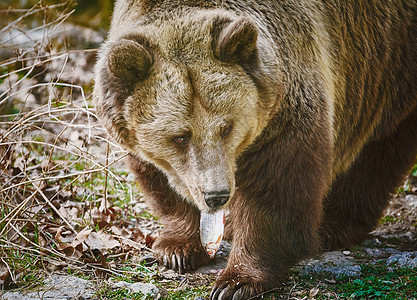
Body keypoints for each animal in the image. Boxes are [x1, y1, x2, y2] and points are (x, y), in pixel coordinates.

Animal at [93, 1, 416, 298]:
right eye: (180, 137)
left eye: (226, 127)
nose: (217, 195)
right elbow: (160, 179)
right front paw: (176, 249)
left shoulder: (285, 106)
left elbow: (276, 187)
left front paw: (237, 281)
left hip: (387, 65)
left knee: (376, 151)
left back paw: (333, 224)